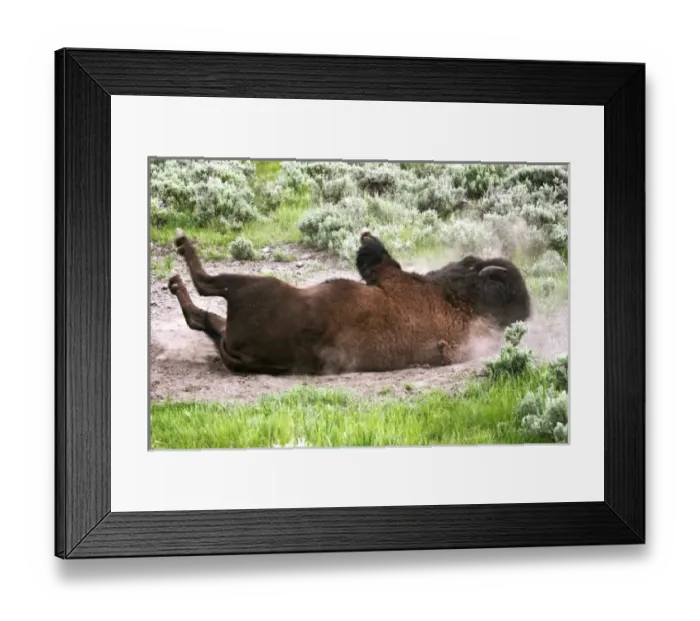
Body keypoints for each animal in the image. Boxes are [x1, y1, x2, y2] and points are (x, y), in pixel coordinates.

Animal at [167, 228, 530, 375]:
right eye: (469, 260)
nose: (461, 260)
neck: (460, 303)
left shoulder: (391, 279)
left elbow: (381, 263)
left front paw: (368, 240)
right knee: (201, 318)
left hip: (254, 287)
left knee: (205, 286)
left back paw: (182, 256)